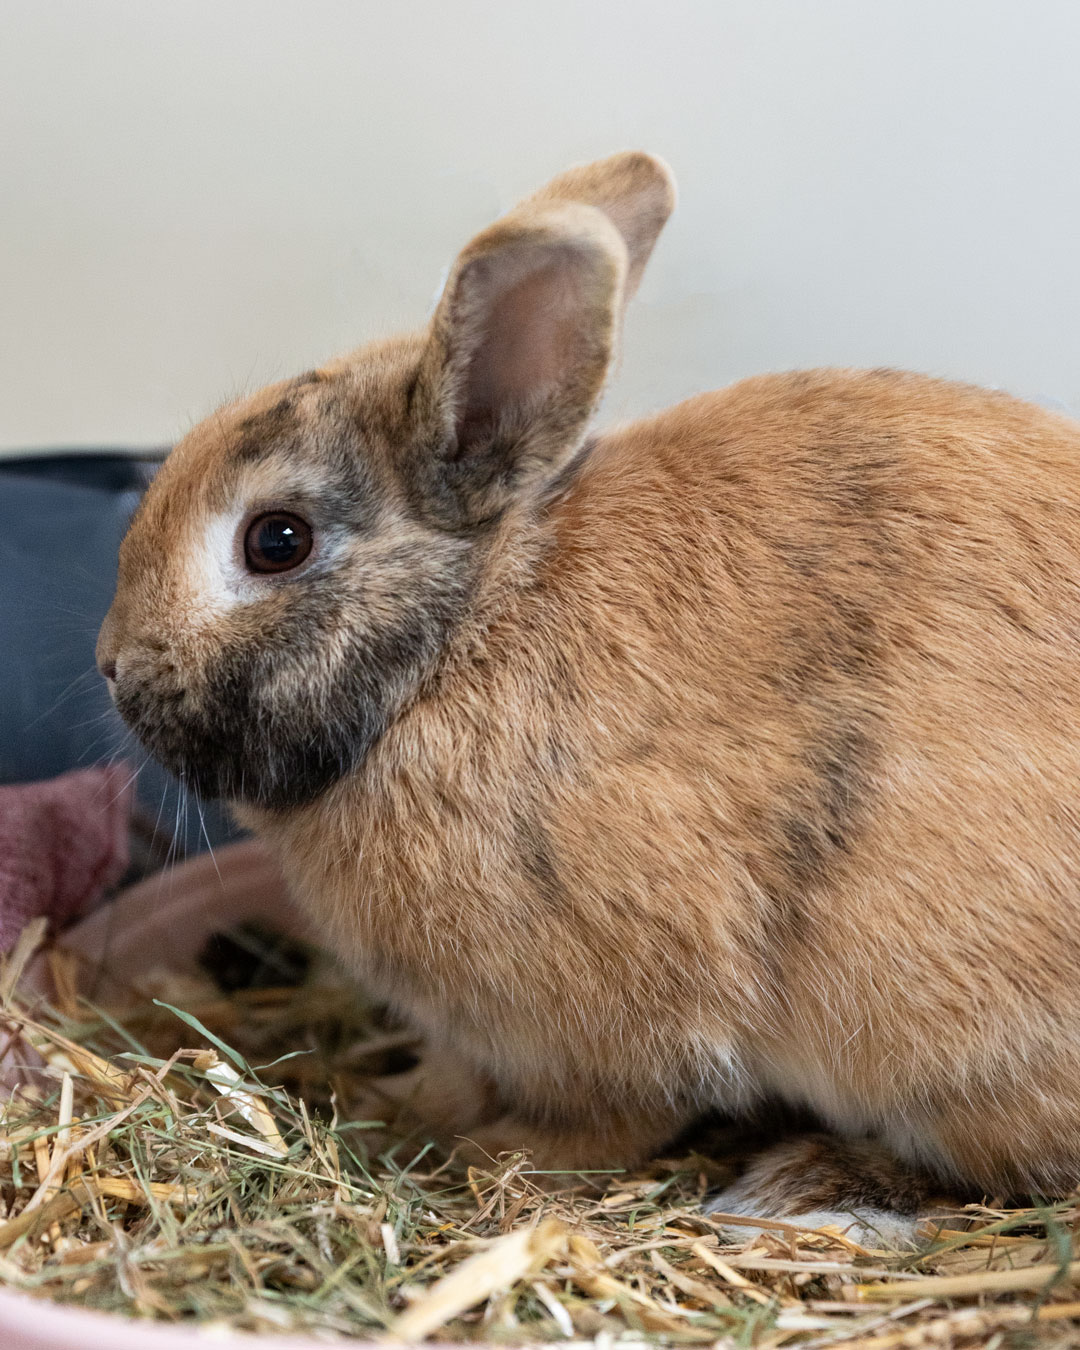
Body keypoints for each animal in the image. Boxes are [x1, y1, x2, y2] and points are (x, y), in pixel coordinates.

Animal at [98, 150, 1080, 1246]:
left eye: (276, 541)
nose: (112, 665)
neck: (454, 647)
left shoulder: (617, 1019)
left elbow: (612, 1118)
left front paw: (494, 1155)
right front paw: (396, 1100)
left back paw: (805, 1182)